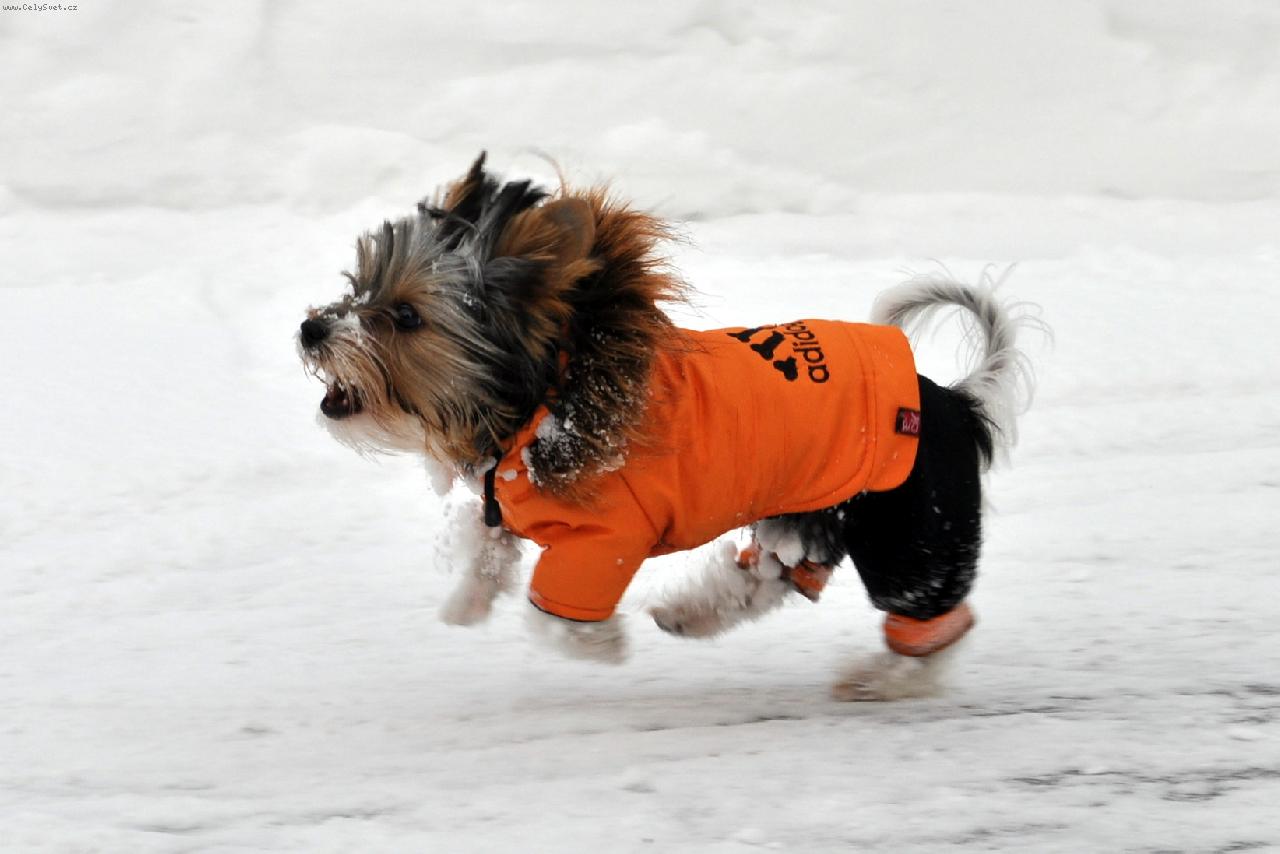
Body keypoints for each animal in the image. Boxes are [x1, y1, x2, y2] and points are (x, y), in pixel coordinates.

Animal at [298, 153, 1035, 700]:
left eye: (406, 316)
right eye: (358, 287)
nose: (311, 329)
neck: (546, 403)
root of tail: (955, 403)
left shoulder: (607, 540)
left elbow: (553, 613)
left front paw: (602, 645)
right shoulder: (504, 504)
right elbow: (488, 546)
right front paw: (466, 602)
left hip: (910, 533)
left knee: (937, 621)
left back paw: (887, 681)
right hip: (818, 511)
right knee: (772, 577)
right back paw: (689, 615)